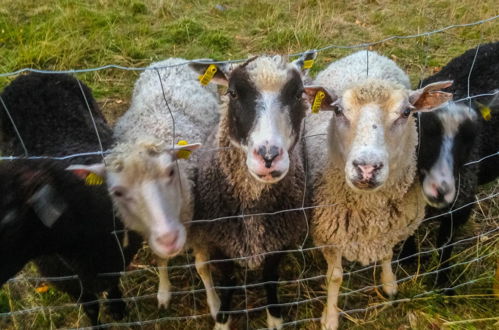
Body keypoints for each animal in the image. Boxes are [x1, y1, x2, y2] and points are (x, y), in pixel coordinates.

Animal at [0, 73, 142, 324]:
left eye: (9, 219)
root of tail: (31, 75)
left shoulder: (115, 262)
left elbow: (112, 286)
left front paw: (118, 309)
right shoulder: (73, 283)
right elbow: (91, 308)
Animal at [67, 58, 220, 310]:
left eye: (171, 171)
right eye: (117, 192)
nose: (169, 239)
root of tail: (170, 59)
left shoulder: (200, 222)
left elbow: (202, 267)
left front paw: (215, 304)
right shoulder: (148, 230)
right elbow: (160, 259)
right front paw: (164, 292)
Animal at [189, 49, 318, 330]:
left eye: (298, 94)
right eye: (233, 93)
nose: (268, 157)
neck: (252, 210)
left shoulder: (279, 242)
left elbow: (269, 278)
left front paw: (275, 317)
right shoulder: (219, 242)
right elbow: (229, 282)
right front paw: (223, 320)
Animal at [306, 50, 456, 328]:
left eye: (407, 112)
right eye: (338, 110)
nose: (367, 168)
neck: (369, 212)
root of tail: (366, 52)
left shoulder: (391, 227)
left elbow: (387, 255)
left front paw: (389, 285)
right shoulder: (328, 237)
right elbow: (335, 277)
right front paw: (330, 316)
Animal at [400, 42, 499, 292]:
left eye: (471, 138)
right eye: (423, 131)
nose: (441, 190)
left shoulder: (460, 207)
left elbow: (445, 246)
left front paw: (443, 284)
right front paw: (407, 257)